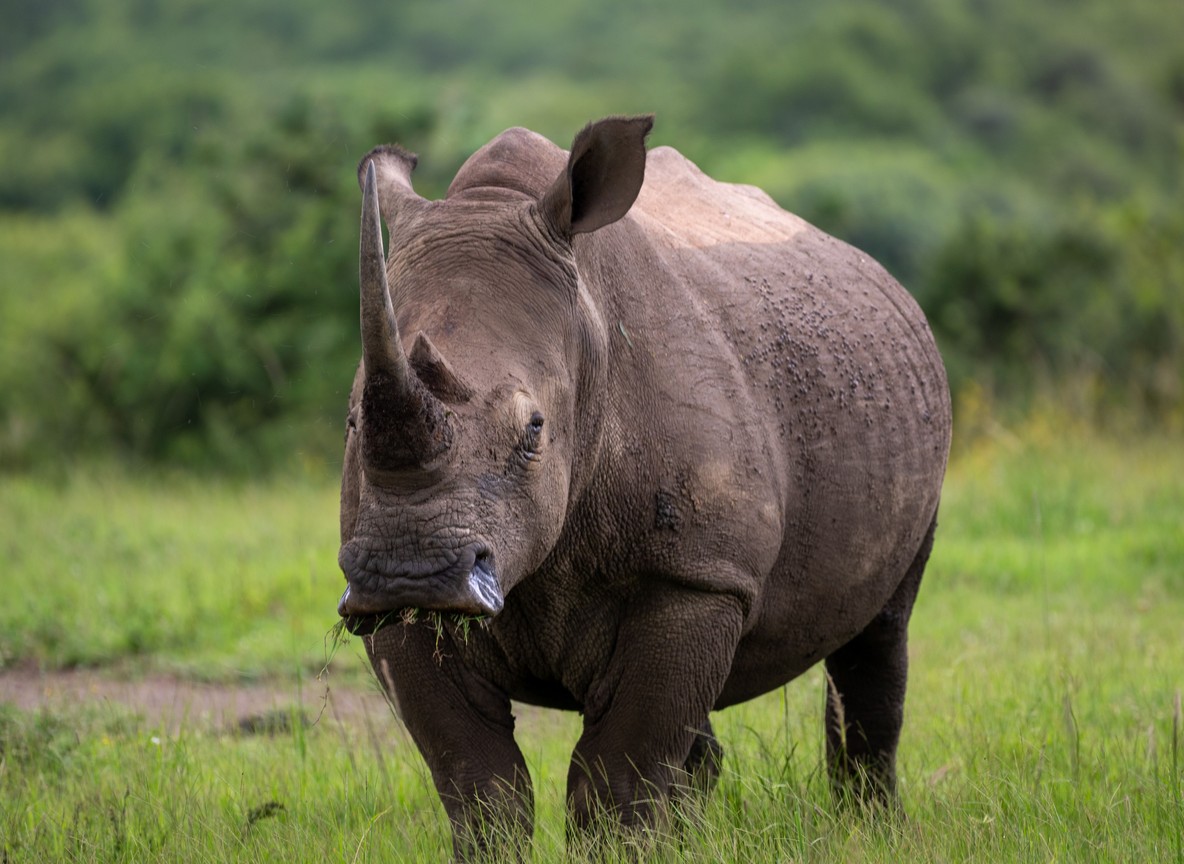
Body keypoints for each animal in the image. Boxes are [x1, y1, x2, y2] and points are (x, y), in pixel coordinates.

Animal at [336, 115, 951, 859]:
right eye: (351, 419)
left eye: (535, 429)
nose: (411, 574)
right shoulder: (396, 613)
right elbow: (479, 782)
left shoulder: (695, 578)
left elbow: (616, 779)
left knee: (880, 632)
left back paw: (871, 829)